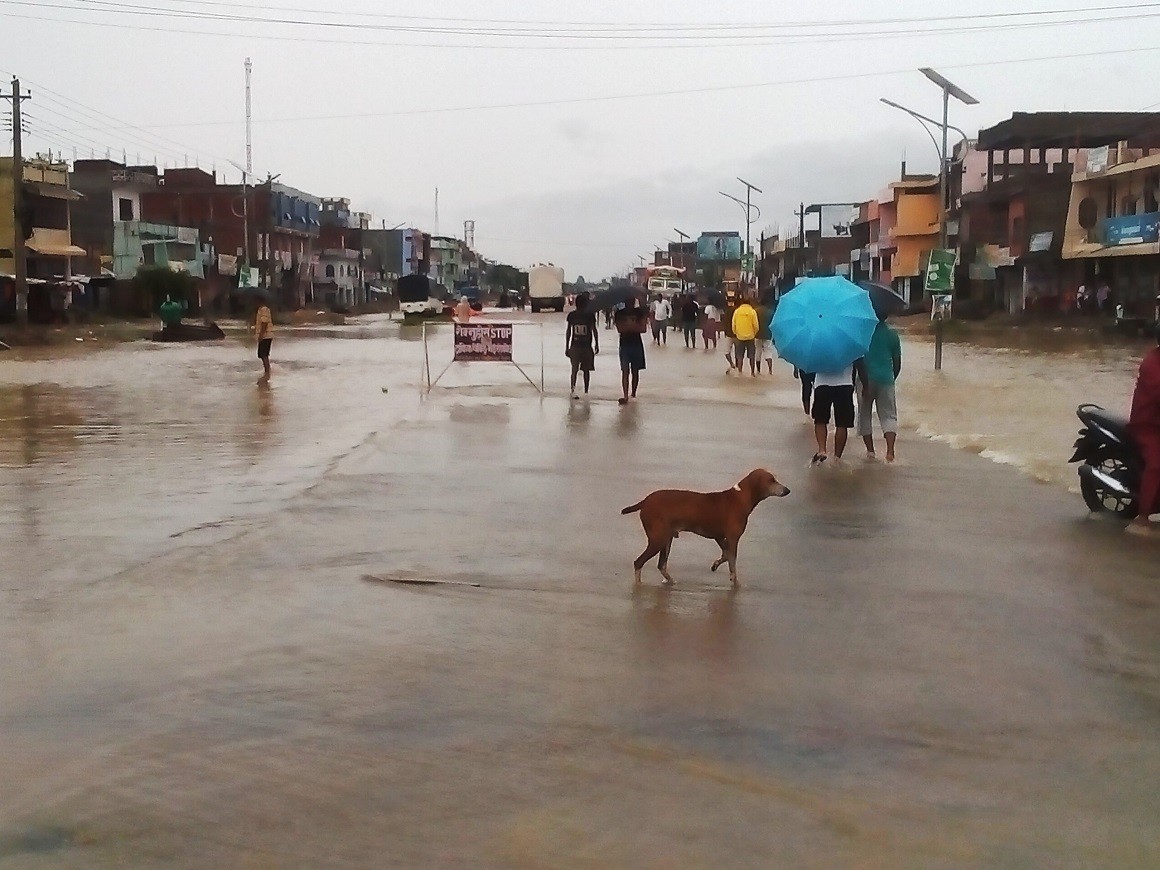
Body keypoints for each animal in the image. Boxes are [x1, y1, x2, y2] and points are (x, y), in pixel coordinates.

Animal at [621, 470, 793, 586]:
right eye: (771, 480)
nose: (787, 490)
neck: (740, 497)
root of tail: (645, 501)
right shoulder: (733, 538)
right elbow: (732, 562)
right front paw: (735, 582)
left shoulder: (719, 537)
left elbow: (725, 555)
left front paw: (715, 565)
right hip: (658, 539)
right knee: (638, 562)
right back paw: (639, 585)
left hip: (667, 539)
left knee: (661, 565)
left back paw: (670, 581)